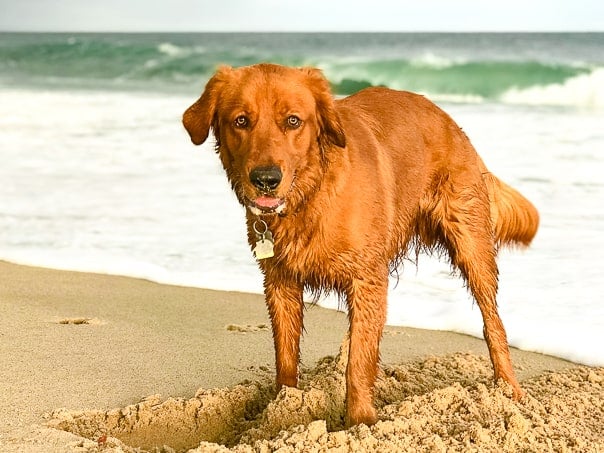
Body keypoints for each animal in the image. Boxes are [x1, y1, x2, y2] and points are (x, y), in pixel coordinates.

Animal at [182, 61, 540, 426]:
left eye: (293, 121)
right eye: (241, 121)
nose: (265, 179)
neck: (311, 194)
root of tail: (448, 119)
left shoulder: (367, 278)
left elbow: (359, 361)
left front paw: (361, 421)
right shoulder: (280, 281)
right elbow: (286, 356)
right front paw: (284, 406)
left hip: (471, 243)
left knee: (493, 322)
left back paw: (508, 389)